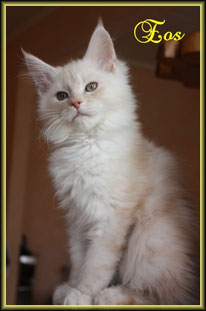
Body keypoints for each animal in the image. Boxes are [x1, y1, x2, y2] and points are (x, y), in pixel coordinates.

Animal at [22, 20, 200, 308]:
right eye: (61, 96)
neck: (87, 145)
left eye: (91, 87)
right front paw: (70, 288)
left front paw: (82, 294)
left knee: (166, 296)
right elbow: (79, 260)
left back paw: (113, 295)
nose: (76, 103)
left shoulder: (111, 218)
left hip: (149, 236)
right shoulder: (77, 220)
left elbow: (97, 265)